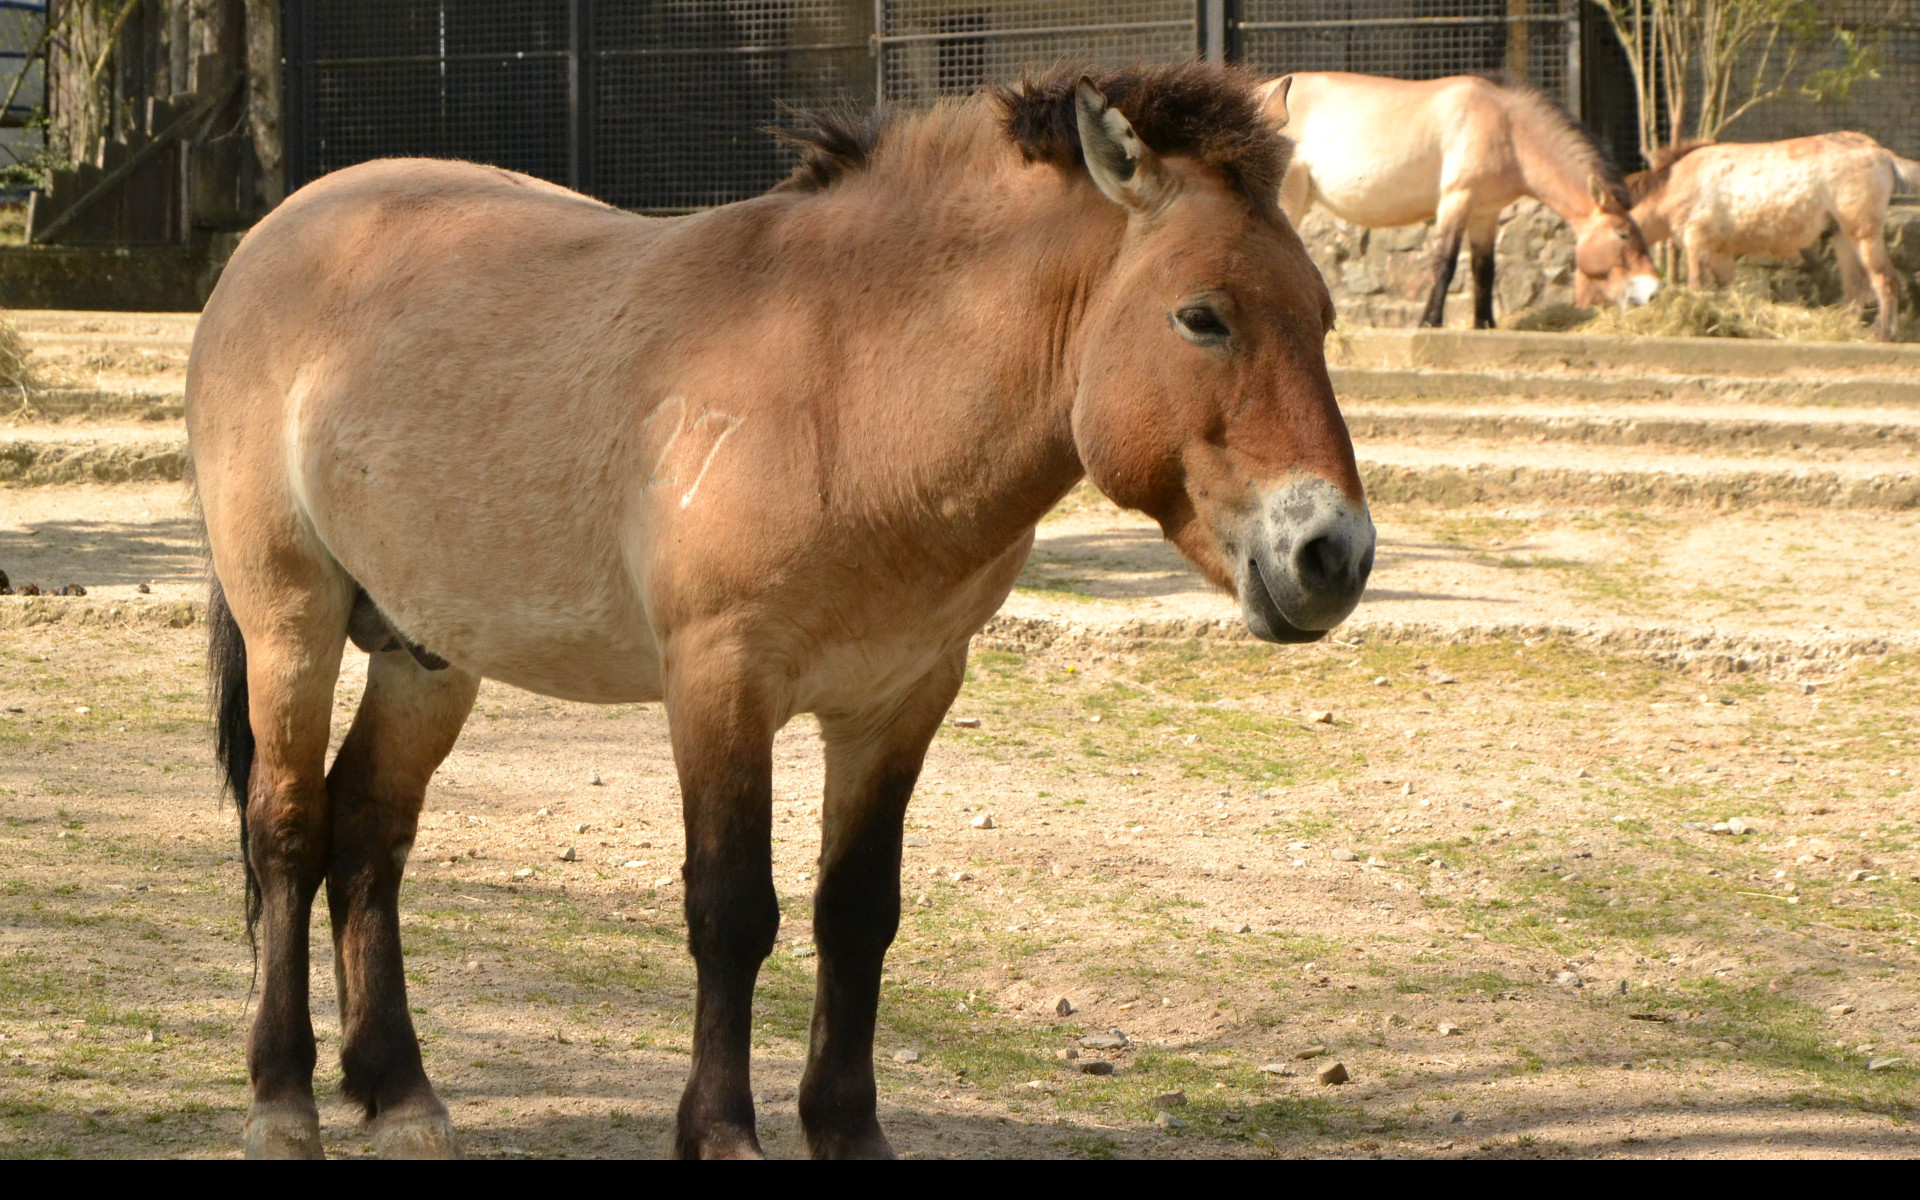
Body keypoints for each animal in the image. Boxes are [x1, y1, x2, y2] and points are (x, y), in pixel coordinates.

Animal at [187, 58, 1374, 1159]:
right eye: (1202, 317)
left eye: (1322, 318)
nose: (1334, 554)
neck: (847, 390)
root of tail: (272, 238)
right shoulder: (721, 681)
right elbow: (731, 909)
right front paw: (719, 1131)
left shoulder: (902, 698)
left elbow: (857, 914)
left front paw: (847, 1129)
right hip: (291, 620)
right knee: (287, 830)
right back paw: (283, 1102)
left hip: (427, 651)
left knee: (368, 830)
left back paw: (401, 1095)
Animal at [1259, 72, 1666, 324]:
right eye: (1623, 233)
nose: (1652, 291)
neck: (1506, 128)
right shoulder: (1457, 200)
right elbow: (1446, 263)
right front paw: (1429, 321)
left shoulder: (1485, 213)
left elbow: (1484, 270)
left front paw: (1485, 322)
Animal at [1620, 135, 1920, 341]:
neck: (1674, 184)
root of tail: (1882, 154)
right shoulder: (1720, 253)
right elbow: (1729, 292)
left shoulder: (1697, 242)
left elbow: (1697, 287)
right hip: (1843, 236)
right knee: (1856, 287)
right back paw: (1845, 330)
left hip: (1862, 232)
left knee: (1885, 280)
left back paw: (1882, 335)